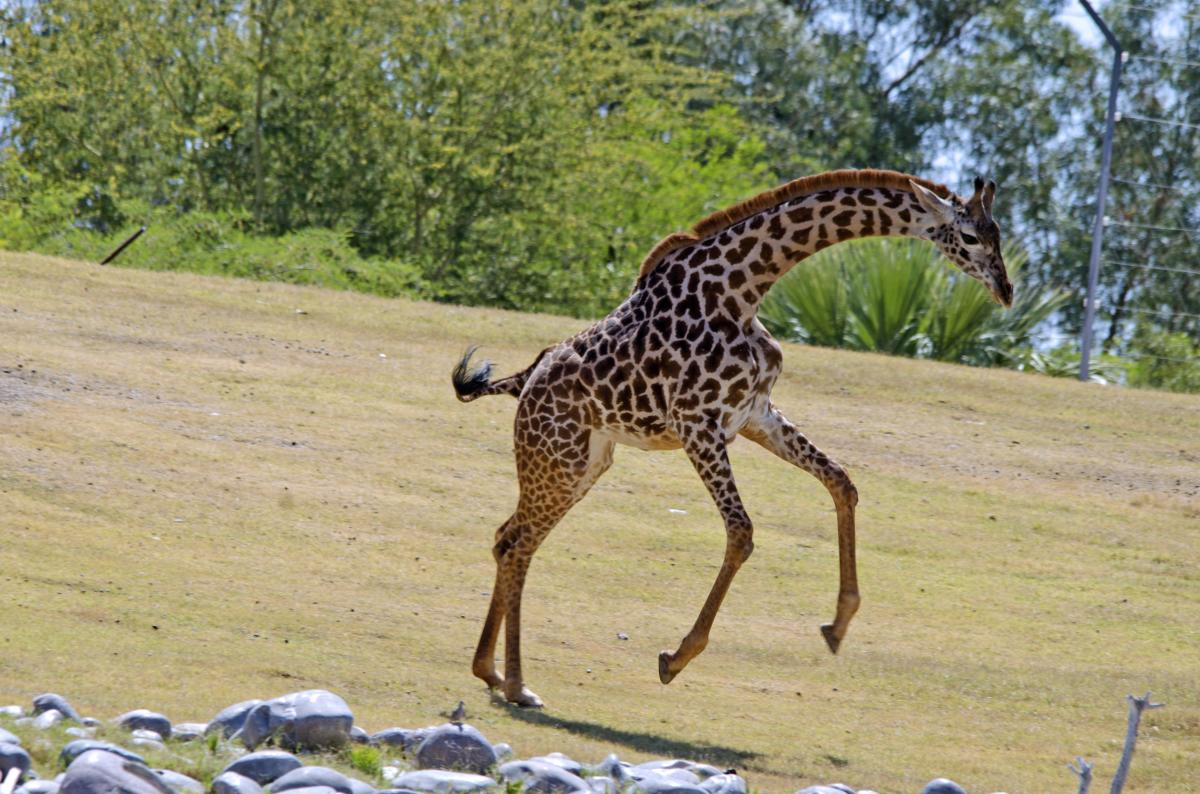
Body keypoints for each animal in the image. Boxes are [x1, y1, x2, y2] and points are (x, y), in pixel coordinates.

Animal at [452, 169, 1011, 707]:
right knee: (519, 546)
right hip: (559, 458)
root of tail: (525, 381)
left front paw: (838, 624)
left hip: (583, 465)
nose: (1006, 291)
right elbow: (741, 531)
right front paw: (675, 658)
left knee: (507, 538)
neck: (741, 290)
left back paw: (490, 672)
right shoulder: (696, 424)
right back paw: (518, 685)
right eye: (969, 236)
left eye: (999, 235)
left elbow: (841, 481)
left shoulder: (753, 415)